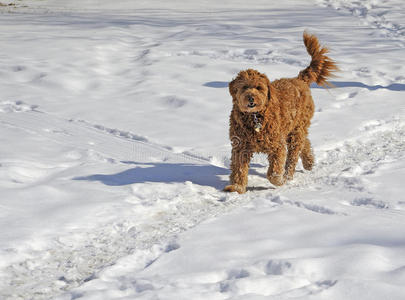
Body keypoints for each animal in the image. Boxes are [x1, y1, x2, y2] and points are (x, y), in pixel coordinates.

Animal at [224, 31, 338, 193]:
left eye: (259, 87)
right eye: (244, 87)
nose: (251, 98)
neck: (255, 117)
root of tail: (299, 79)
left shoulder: (276, 146)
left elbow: (273, 171)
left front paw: (278, 180)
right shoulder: (240, 146)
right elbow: (239, 169)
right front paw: (236, 187)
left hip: (296, 130)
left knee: (294, 154)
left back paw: (288, 175)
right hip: (294, 129)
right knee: (305, 142)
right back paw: (309, 162)